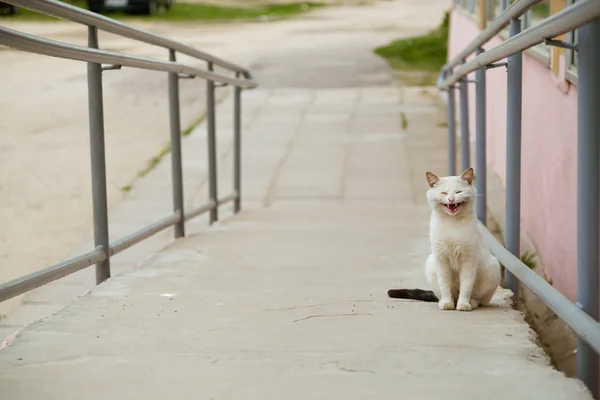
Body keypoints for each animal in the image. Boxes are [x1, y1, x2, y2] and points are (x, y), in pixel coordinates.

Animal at [386, 167, 500, 310]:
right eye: (444, 193)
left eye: (458, 192)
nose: (451, 199)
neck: (452, 223)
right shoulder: (441, 259)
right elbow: (445, 285)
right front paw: (447, 303)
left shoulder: (469, 260)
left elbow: (466, 286)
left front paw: (463, 305)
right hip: (431, 263)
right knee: (445, 294)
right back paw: (446, 302)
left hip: (493, 267)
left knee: (479, 299)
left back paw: (470, 303)